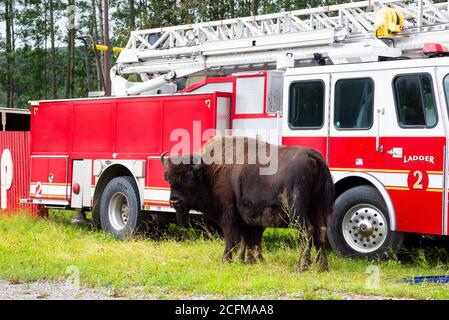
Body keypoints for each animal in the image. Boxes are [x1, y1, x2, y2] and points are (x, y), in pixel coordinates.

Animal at [160, 136, 332, 272]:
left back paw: (301, 266)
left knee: (306, 230)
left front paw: (226, 260)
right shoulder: (247, 219)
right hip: (316, 206)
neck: (211, 171)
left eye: (189, 178)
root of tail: (311, 155)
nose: (175, 201)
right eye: (168, 178)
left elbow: (232, 239)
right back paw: (323, 267)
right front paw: (250, 260)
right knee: (321, 230)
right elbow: (250, 240)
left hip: (296, 209)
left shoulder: (229, 216)